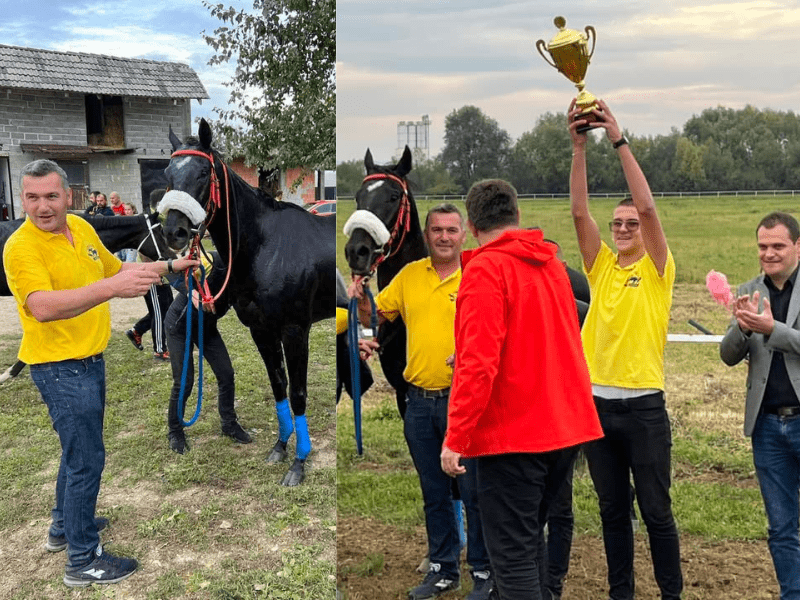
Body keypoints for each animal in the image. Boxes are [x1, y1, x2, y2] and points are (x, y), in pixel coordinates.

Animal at [158, 118, 332, 488]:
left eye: (202, 173)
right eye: (167, 172)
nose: (173, 232)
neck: (268, 245)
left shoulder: (295, 331)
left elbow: (298, 393)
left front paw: (299, 463)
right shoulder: (261, 330)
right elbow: (279, 386)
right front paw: (280, 447)